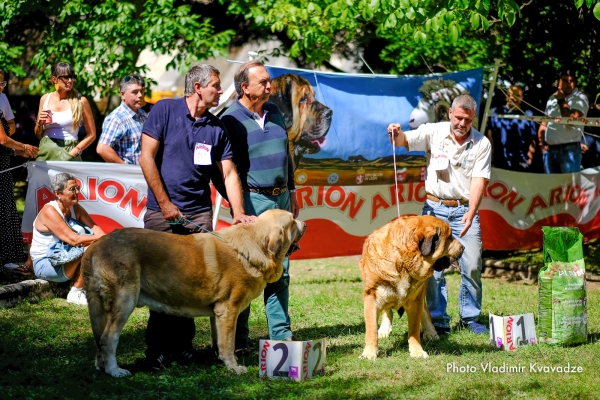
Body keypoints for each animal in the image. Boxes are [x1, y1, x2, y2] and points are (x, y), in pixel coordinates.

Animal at [81, 209, 304, 378]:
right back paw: (114, 370)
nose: (304, 223)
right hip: (124, 302)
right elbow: (228, 343)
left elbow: (219, 341)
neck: (254, 245)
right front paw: (234, 367)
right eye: (292, 222)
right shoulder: (229, 310)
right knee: (108, 338)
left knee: (99, 338)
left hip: (100, 308)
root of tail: (95, 245)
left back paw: (102, 366)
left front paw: (221, 361)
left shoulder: (218, 314)